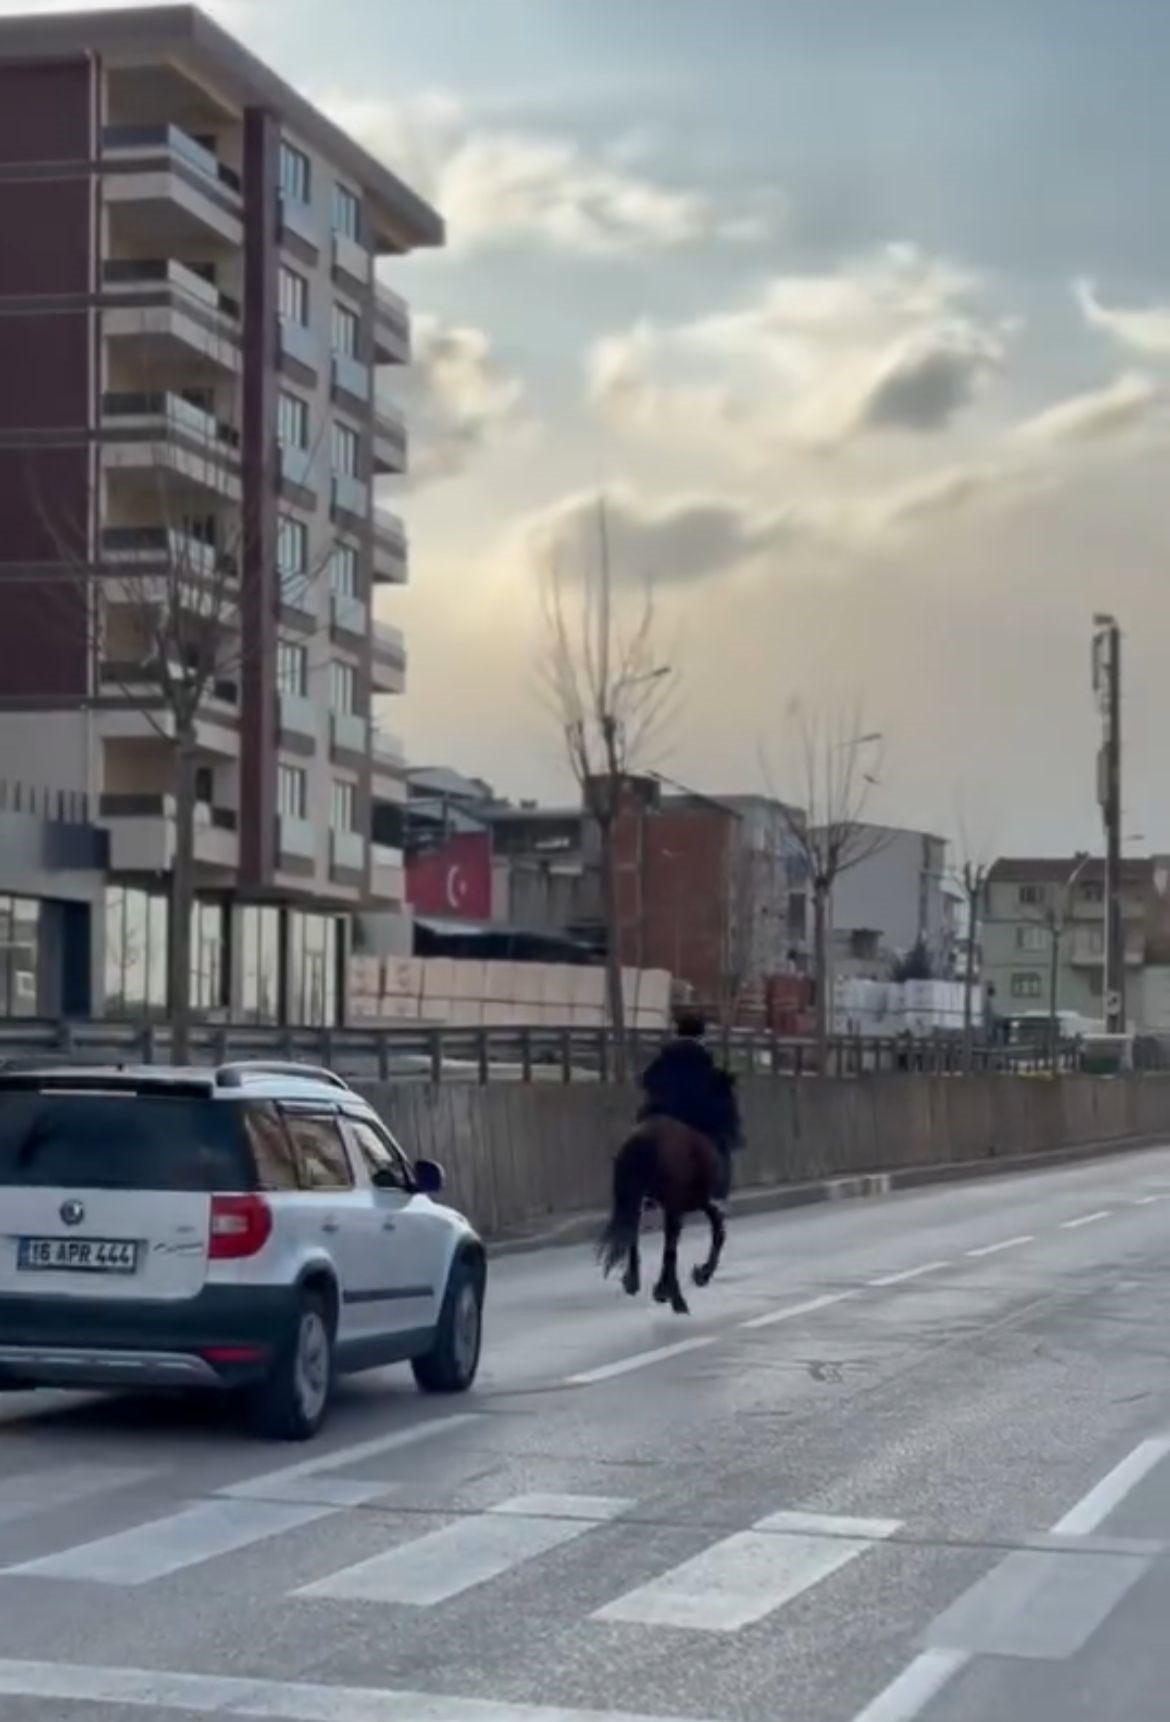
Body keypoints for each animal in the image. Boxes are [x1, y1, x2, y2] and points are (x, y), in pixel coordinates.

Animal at [599, 1108, 727, 1308]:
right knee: (670, 1244)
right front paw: (699, 1275)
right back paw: (669, 1291)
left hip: (636, 1200)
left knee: (634, 1234)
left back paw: (636, 1283)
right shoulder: (686, 1203)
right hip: (674, 1203)